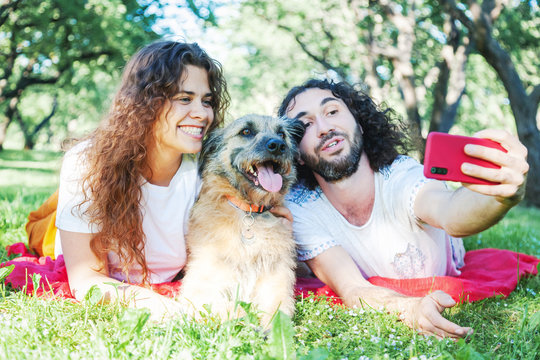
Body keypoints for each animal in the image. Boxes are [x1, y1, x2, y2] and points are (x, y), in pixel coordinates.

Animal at [177, 114, 304, 326]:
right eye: (246, 131)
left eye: (281, 134)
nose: (278, 146)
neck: (249, 211)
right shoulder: (201, 289)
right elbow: (235, 309)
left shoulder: (276, 277)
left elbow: (278, 310)